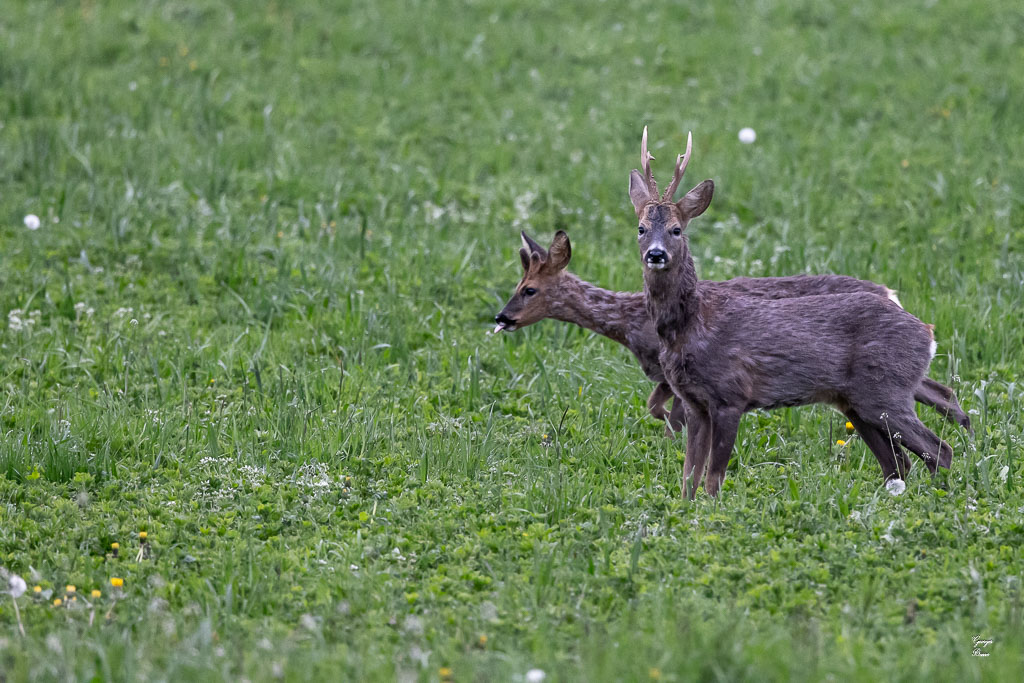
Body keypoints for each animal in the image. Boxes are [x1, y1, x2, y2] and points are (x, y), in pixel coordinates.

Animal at [493, 231, 969, 444]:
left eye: (528, 289)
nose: (502, 317)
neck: (629, 322)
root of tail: (891, 293)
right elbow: (657, 409)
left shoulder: (671, 371)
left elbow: (663, 412)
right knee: (941, 391)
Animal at [628, 127, 956, 496]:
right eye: (641, 228)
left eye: (677, 229)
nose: (656, 254)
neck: (692, 327)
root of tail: (927, 332)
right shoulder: (695, 402)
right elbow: (689, 477)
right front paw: (685, 507)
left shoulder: (731, 394)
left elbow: (713, 478)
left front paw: (712, 509)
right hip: (857, 402)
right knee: (898, 463)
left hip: (886, 390)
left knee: (938, 450)